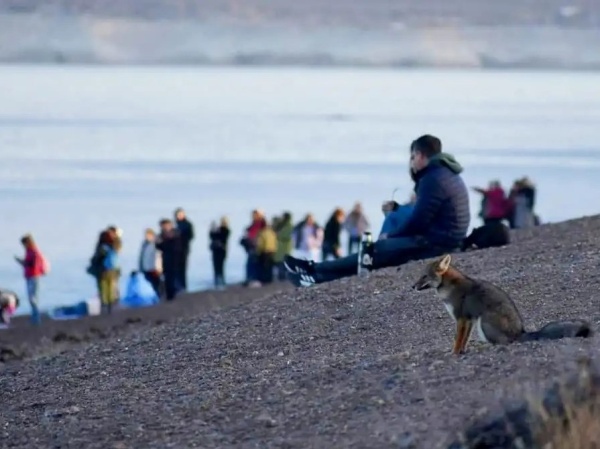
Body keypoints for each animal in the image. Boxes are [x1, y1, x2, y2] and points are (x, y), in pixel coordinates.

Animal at [412, 252, 592, 354]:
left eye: (424, 276)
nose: (412, 286)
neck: (449, 286)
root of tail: (520, 331)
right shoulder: (469, 320)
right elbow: (464, 339)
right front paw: (461, 351)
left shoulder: (461, 317)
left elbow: (458, 339)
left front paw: (454, 353)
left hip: (484, 321)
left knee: (505, 343)